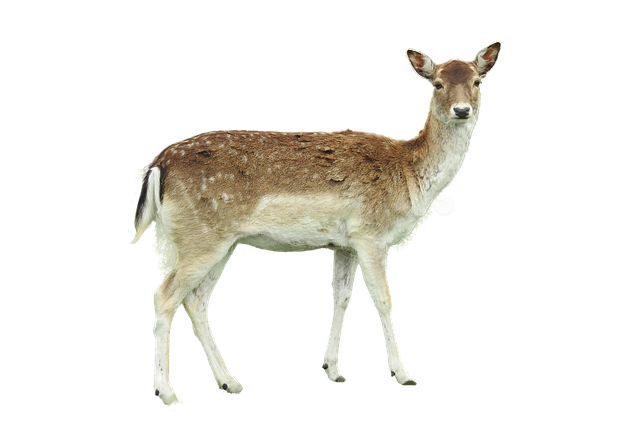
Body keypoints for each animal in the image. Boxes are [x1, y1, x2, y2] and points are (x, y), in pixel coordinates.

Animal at [130, 39, 503, 407]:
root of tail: (157, 165)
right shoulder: (371, 233)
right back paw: (168, 392)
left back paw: (230, 382)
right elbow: (384, 297)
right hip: (200, 237)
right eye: (437, 84)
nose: (461, 110)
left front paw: (334, 371)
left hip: (222, 242)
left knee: (196, 299)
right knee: (165, 295)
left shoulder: (344, 243)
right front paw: (404, 375)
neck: (410, 176)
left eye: (476, 82)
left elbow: (342, 296)